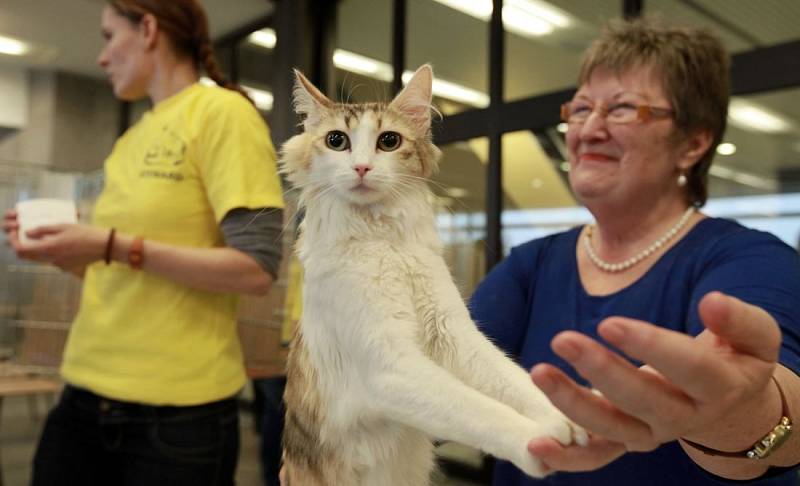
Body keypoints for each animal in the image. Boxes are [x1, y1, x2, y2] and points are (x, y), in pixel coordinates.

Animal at [282, 65, 588, 486]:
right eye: (336, 140)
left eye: (389, 141)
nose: (361, 167)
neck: (386, 244)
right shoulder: (391, 366)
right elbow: (480, 410)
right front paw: (536, 439)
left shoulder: (453, 334)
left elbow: (515, 381)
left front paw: (567, 418)